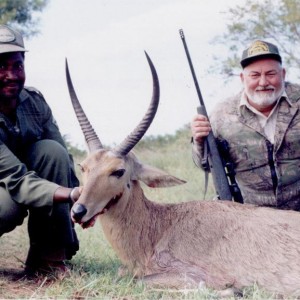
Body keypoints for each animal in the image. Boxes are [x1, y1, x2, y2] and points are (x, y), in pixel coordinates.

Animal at [66, 53, 300, 296]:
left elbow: (141, 281)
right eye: (83, 167)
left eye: (118, 171)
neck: (160, 226)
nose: (78, 211)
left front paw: (232, 291)